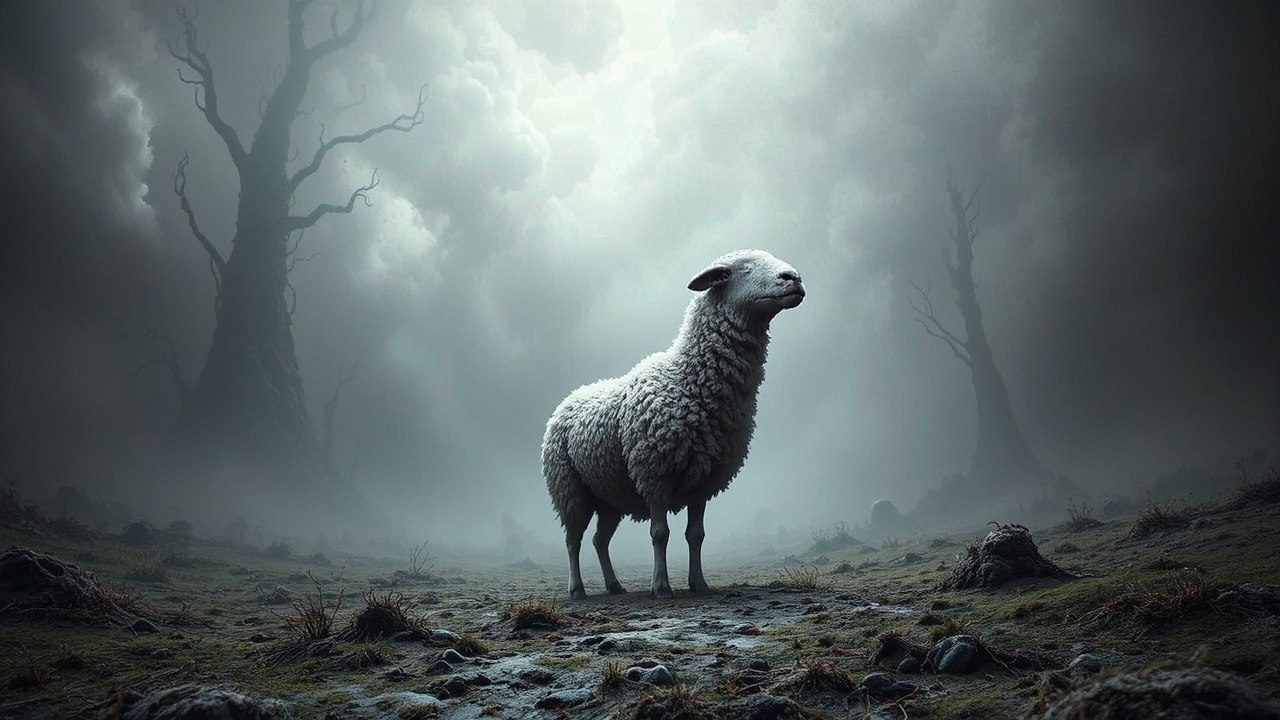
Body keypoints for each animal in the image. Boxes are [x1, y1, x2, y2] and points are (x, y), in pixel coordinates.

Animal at [541, 249, 805, 599]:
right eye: (743, 269)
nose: (795, 279)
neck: (688, 378)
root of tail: (569, 398)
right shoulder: (654, 473)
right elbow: (659, 533)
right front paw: (661, 587)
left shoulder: (704, 480)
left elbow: (696, 535)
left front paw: (699, 584)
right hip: (569, 488)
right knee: (573, 539)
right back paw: (577, 590)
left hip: (609, 493)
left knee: (600, 540)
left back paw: (615, 586)